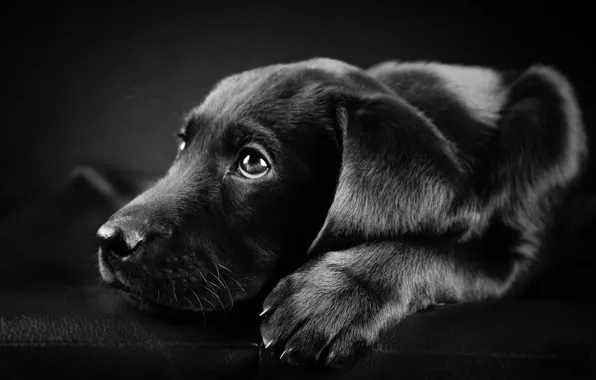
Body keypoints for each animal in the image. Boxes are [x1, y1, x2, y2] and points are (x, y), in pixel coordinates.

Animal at [96, 58, 588, 366]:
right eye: (183, 145)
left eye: (253, 163)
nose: (109, 240)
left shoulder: (512, 263)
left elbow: (440, 253)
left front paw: (332, 297)